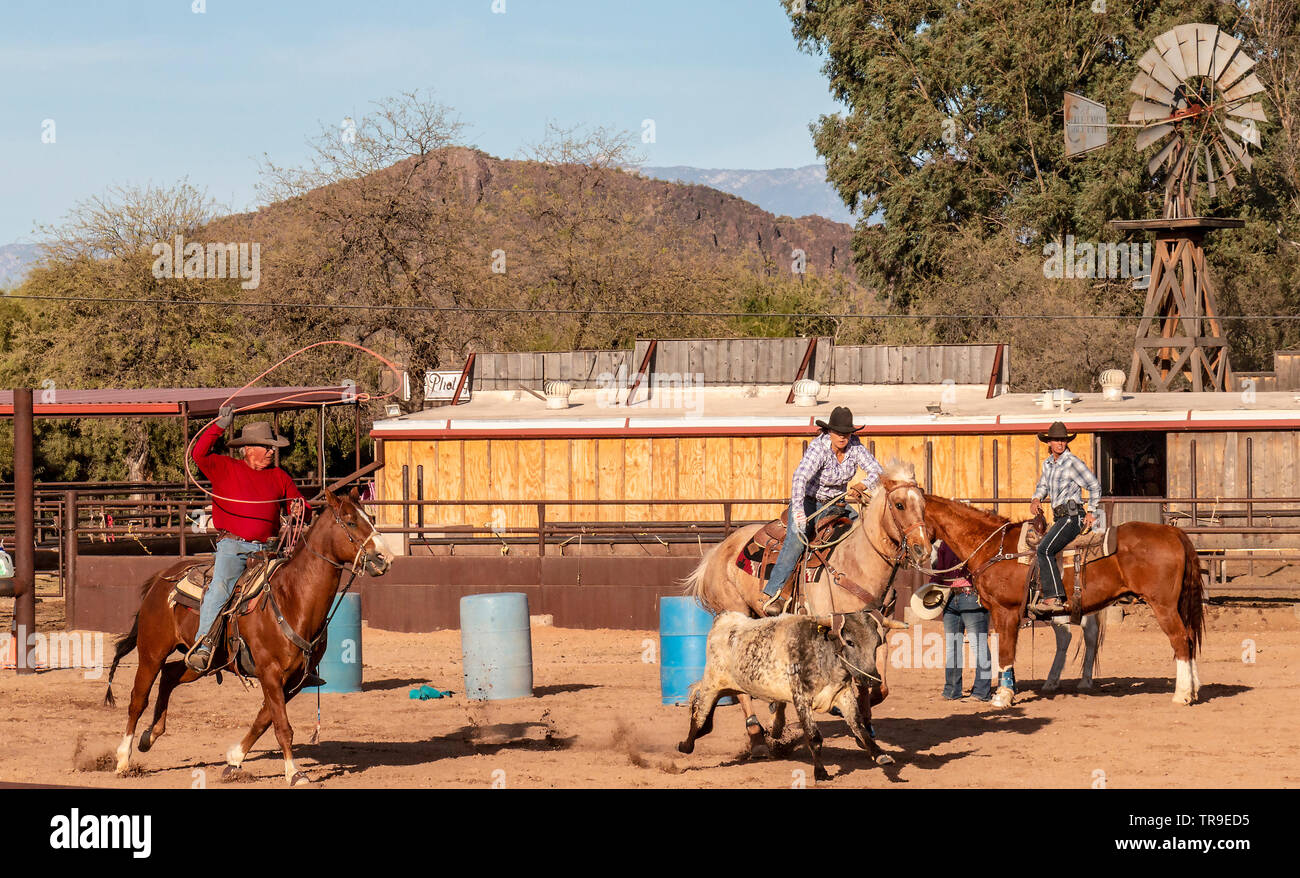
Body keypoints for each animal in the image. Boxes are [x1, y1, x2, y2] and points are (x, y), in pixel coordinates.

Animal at [103, 491, 390, 785]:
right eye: (350, 521)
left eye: (370, 517)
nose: (384, 557)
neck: (292, 598)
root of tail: (161, 578)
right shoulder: (270, 672)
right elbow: (282, 725)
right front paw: (294, 772)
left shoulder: (294, 678)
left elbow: (265, 718)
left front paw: (234, 759)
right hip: (152, 651)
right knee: (138, 698)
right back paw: (123, 759)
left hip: (202, 661)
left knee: (170, 675)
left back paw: (150, 736)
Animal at [681, 460, 935, 754]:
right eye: (899, 505)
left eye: (924, 505)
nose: (923, 550)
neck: (856, 564)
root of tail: (718, 550)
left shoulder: (880, 633)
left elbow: (878, 687)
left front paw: (865, 725)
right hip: (737, 615)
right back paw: (757, 737)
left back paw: (776, 722)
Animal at [925, 496, 1206, 712]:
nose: (923, 555)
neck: (994, 548)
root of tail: (1172, 531)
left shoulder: (1005, 612)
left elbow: (1004, 653)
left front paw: (1002, 697)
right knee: (1189, 637)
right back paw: (1193, 690)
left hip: (1163, 605)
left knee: (1180, 639)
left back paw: (1182, 695)